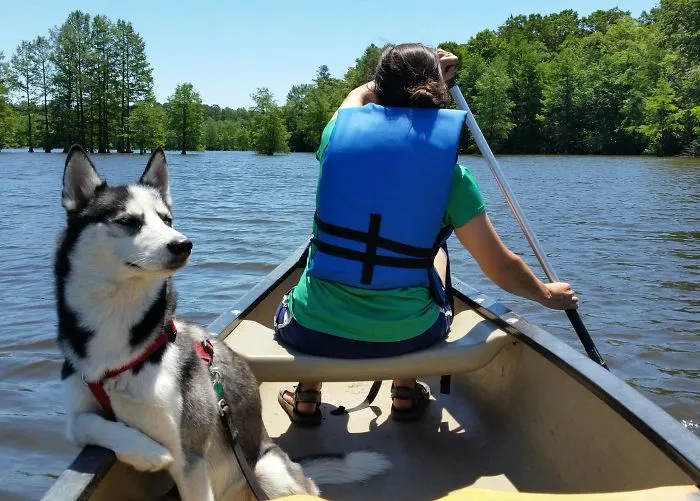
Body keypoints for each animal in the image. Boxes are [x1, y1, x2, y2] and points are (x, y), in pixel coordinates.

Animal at [57, 146, 392, 500]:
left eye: (166, 219)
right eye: (128, 221)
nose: (183, 244)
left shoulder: (190, 456)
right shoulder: (79, 414)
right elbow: (85, 423)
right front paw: (145, 451)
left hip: (267, 470)